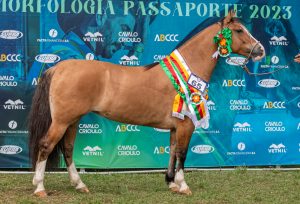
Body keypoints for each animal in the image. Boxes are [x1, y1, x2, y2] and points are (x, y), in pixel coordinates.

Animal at [28, 10, 264, 197]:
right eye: (239, 30)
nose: (261, 50)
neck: (186, 72)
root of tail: (57, 68)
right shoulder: (185, 125)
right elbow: (182, 153)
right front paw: (183, 185)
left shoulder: (175, 126)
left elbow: (172, 151)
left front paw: (171, 183)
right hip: (62, 121)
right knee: (46, 145)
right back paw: (39, 188)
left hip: (73, 120)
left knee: (67, 149)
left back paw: (79, 184)